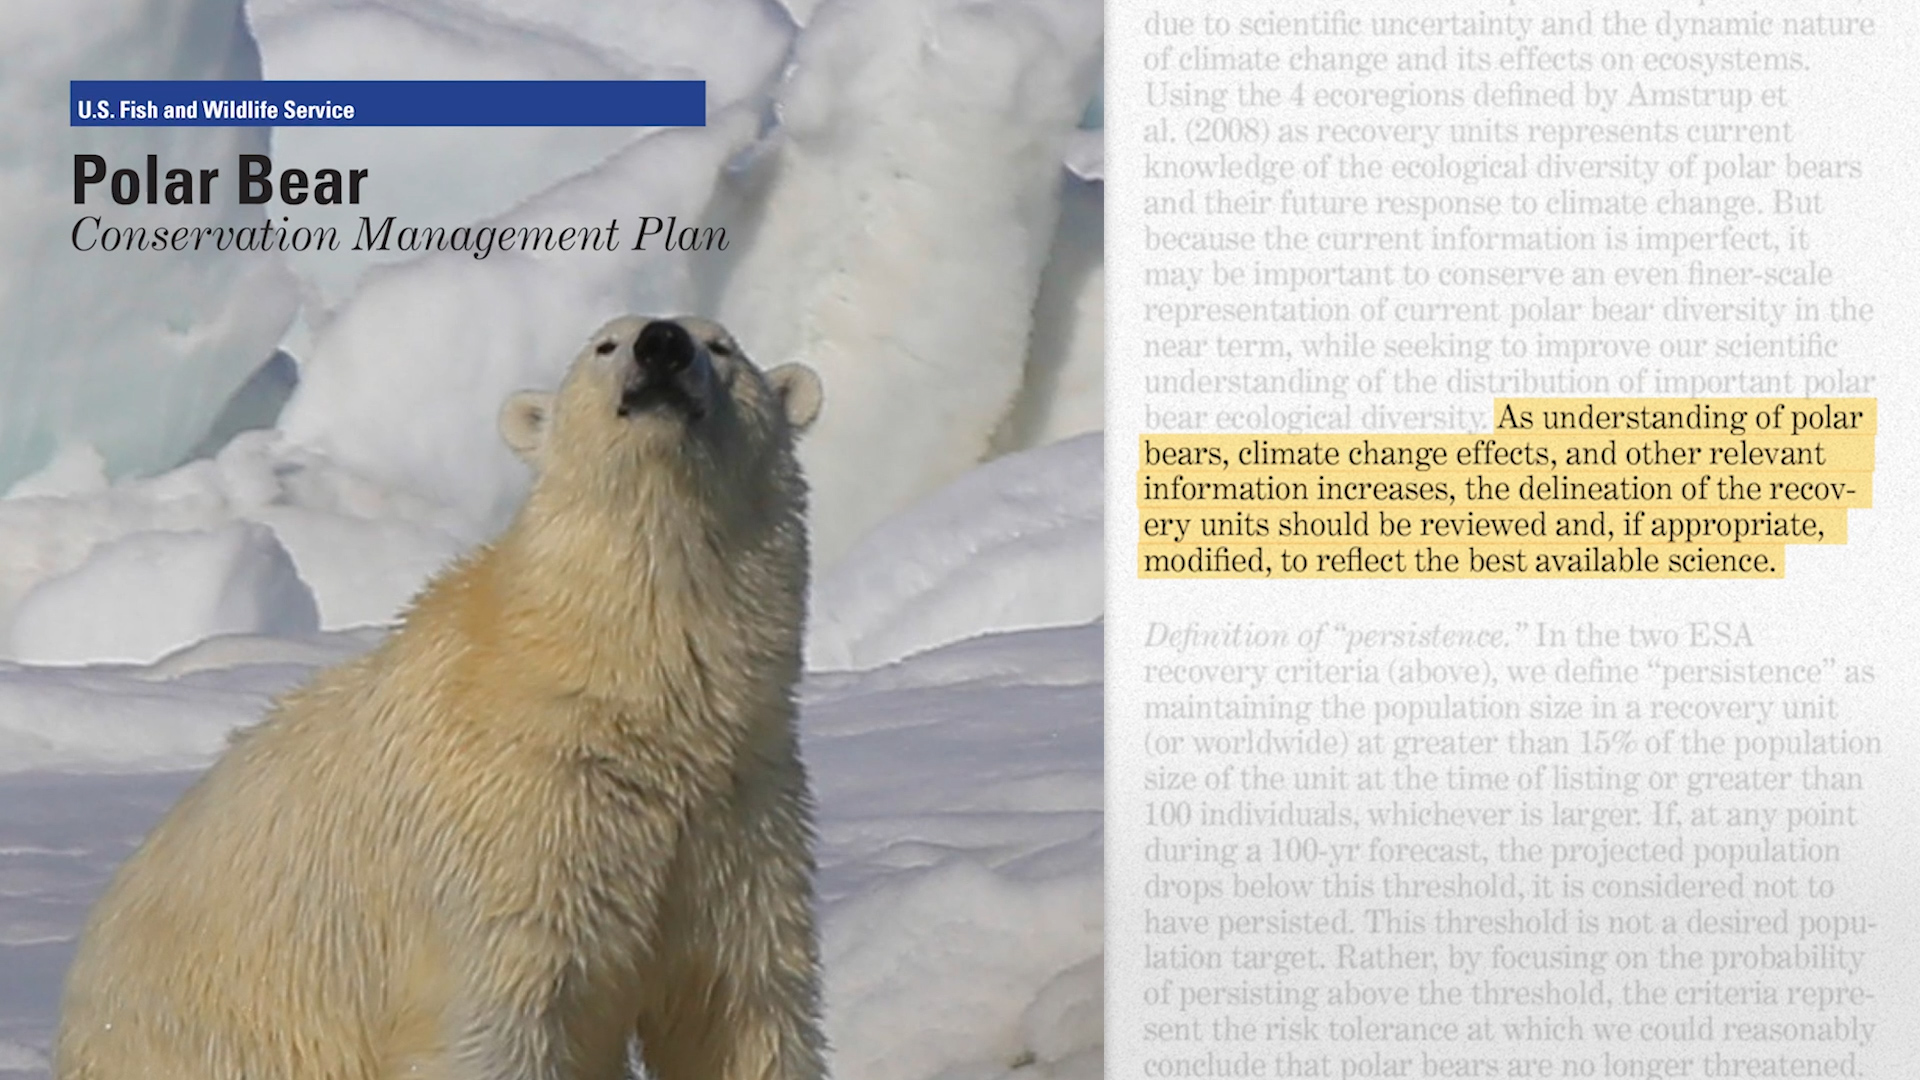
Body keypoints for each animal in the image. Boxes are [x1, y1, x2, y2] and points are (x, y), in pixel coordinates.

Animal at [54, 315, 828, 1080]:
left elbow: (742, 1010)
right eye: (605, 344)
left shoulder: (737, 820)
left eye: (722, 346)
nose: (662, 344)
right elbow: (499, 1022)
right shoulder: (509, 835)